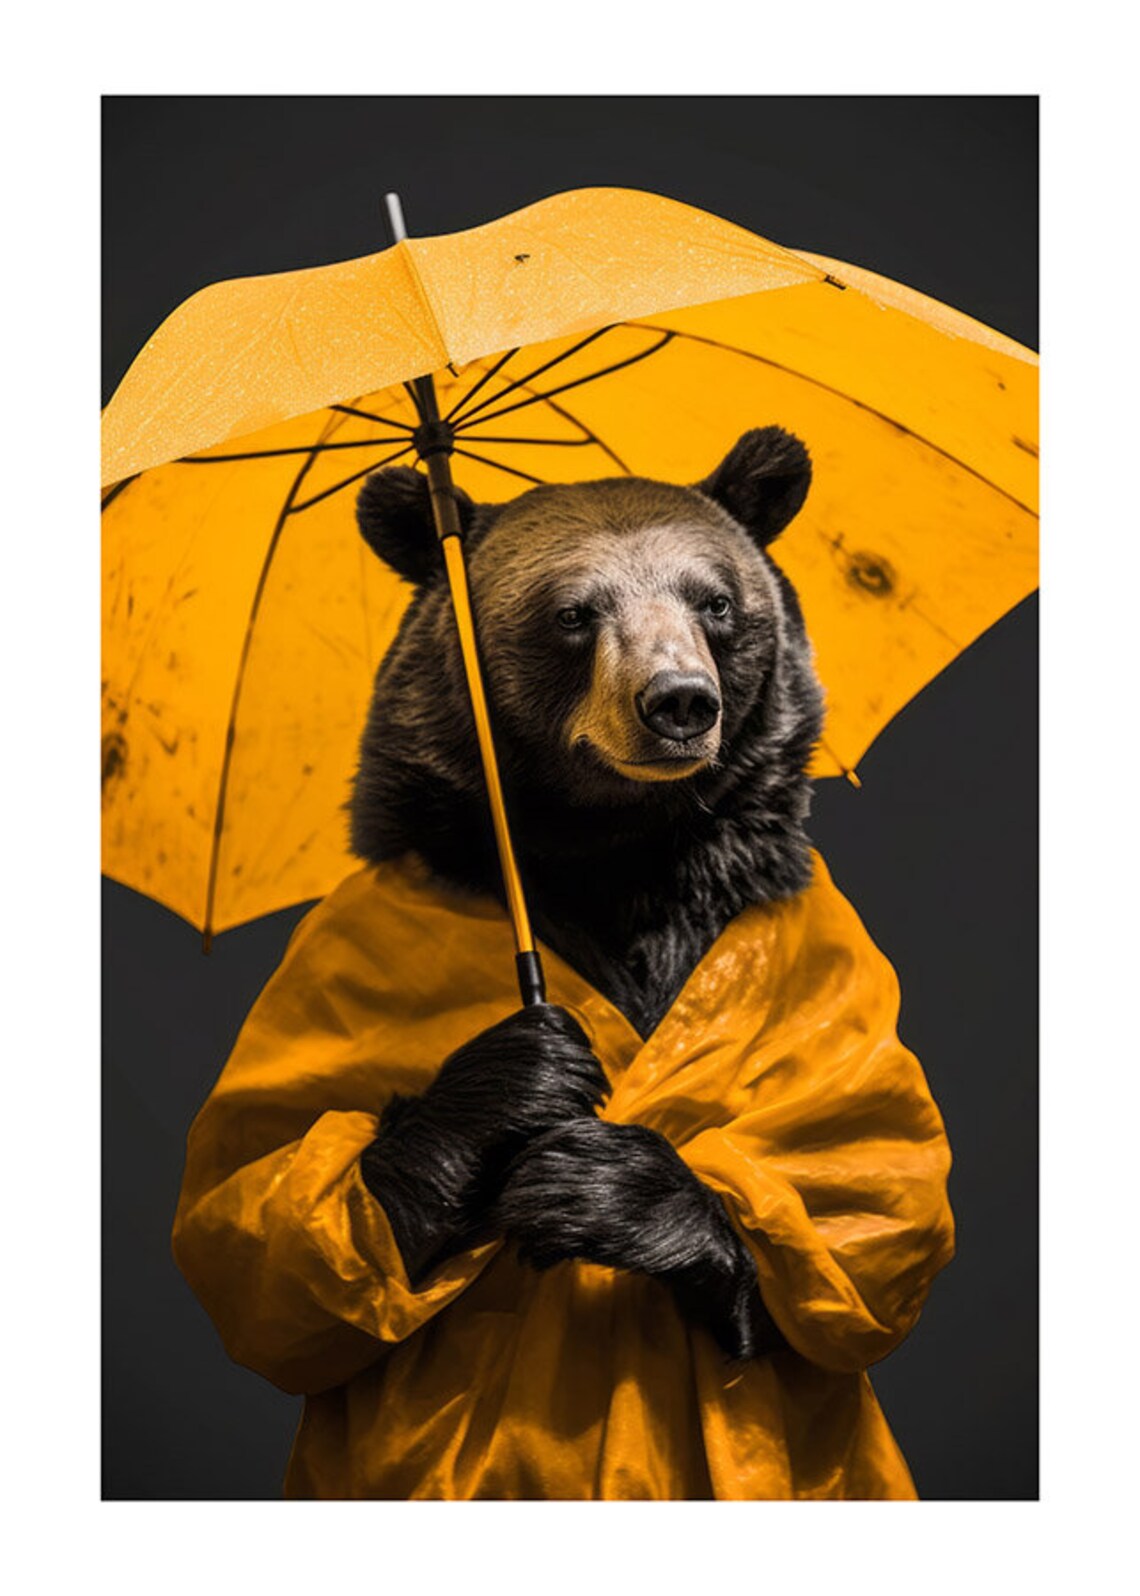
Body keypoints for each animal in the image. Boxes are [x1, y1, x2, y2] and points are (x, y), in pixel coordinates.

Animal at [172, 426, 954, 1501]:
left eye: (715, 601)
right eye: (574, 613)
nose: (680, 703)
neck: (616, 850)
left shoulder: (805, 946)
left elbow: (869, 1195)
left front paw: (610, 1189)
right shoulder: (347, 950)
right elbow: (257, 1215)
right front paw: (522, 1079)